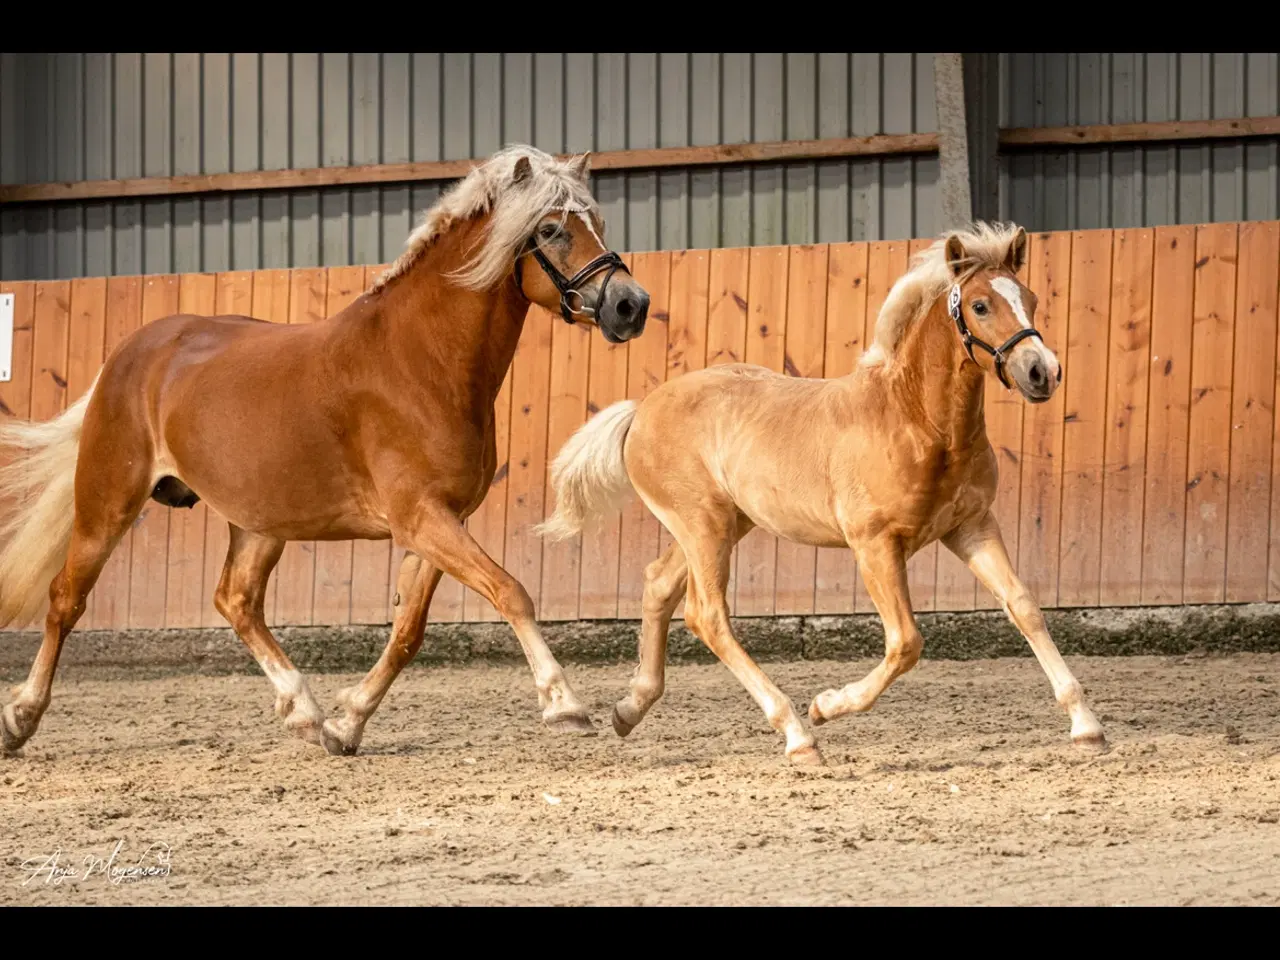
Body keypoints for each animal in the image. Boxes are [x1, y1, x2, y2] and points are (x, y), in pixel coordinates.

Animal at [0, 144, 650, 757]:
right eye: (551, 229)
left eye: (596, 221)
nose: (631, 305)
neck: (419, 362)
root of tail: (136, 349)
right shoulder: (422, 519)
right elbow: (511, 590)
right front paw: (564, 704)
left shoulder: (439, 524)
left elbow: (408, 632)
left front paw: (347, 722)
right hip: (108, 502)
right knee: (65, 599)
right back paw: (20, 718)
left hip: (260, 522)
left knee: (236, 600)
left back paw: (304, 712)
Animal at [535, 224, 1105, 768]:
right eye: (981, 305)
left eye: (1031, 298)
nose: (1042, 372)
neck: (916, 421)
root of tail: (642, 409)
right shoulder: (874, 544)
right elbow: (906, 642)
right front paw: (826, 705)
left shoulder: (971, 526)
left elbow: (1024, 607)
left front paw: (1087, 727)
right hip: (703, 526)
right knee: (707, 615)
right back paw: (798, 735)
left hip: (722, 525)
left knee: (659, 585)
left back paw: (628, 710)